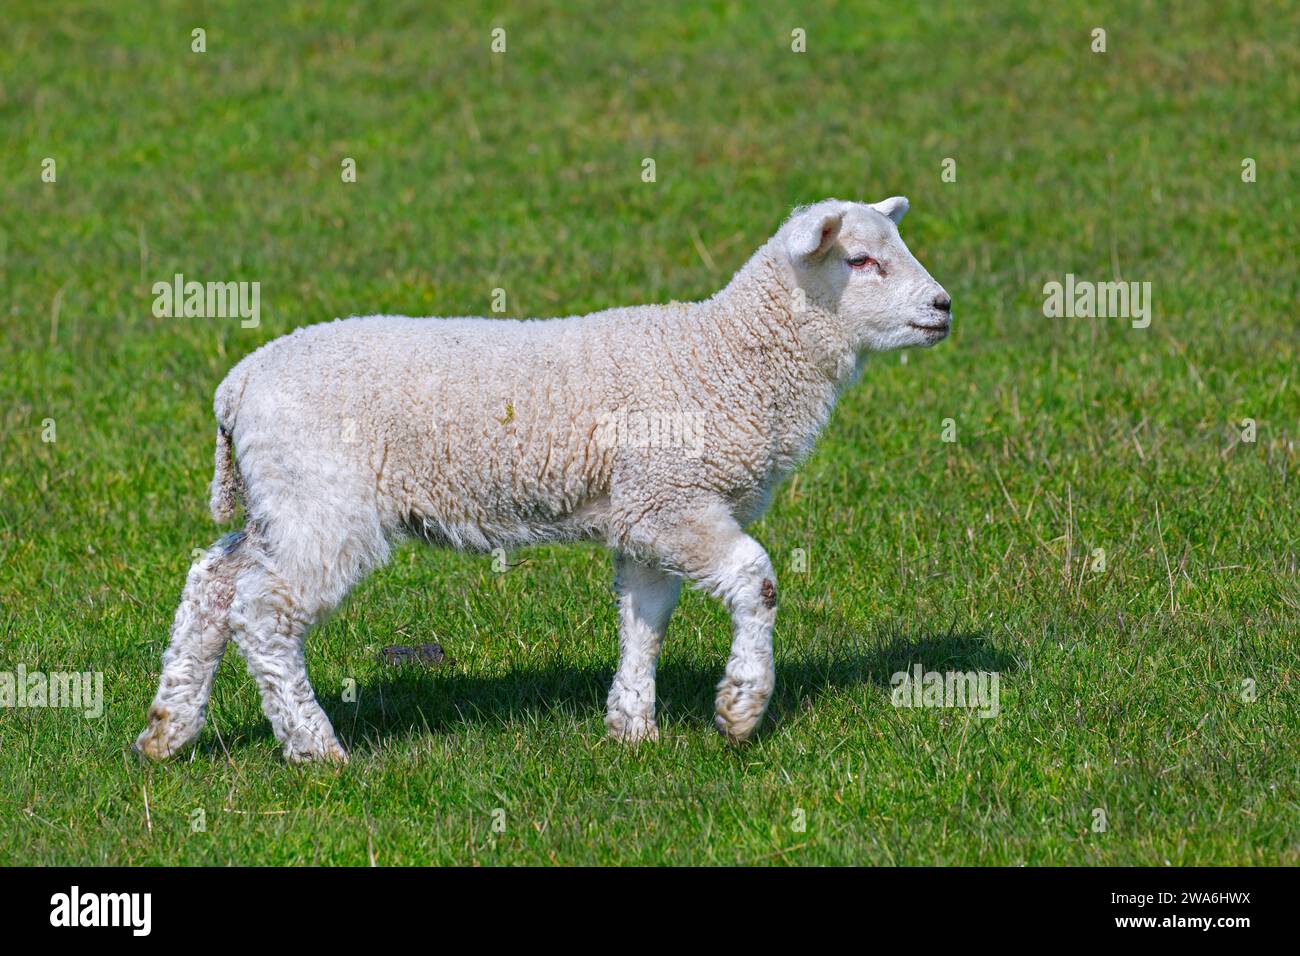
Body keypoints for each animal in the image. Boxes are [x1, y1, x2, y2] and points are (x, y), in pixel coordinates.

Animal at [134, 196, 952, 763]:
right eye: (861, 261)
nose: (943, 307)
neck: (724, 357)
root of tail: (237, 386)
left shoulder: (644, 511)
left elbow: (644, 619)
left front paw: (631, 728)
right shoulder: (670, 499)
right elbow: (760, 579)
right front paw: (741, 710)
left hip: (285, 499)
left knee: (214, 579)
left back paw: (168, 731)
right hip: (323, 503)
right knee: (263, 612)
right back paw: (315, 748)